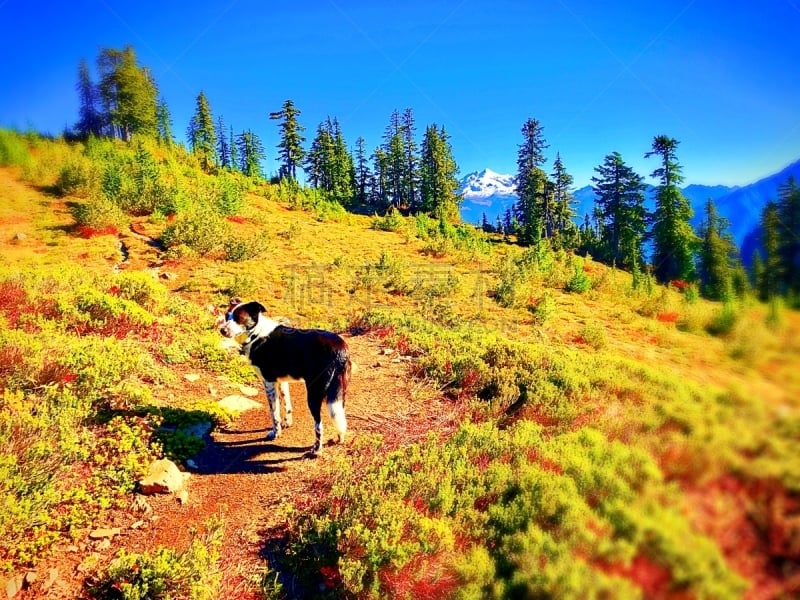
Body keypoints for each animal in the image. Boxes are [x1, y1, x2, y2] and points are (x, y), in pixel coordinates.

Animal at [217, 300, 348, 454]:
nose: (222, 330)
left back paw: (316, 450)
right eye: (227, 316)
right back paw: (340, 438)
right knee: (339, 417)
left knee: (319, 424)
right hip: (339, 393)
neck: (256, 334)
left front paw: (275, 433)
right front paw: (287, 423)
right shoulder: (282, 381)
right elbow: (287, 403)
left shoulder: (269, 382)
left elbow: (274, 413)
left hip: (314, 393)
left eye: (239, 318)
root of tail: (340, 349)